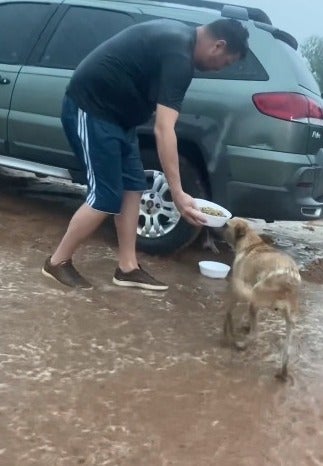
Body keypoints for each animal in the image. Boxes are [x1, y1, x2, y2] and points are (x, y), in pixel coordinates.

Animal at [223, 218, 302, 378]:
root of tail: (288, 281)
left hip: (254, 299)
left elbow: (231, 308)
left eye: (227, 225)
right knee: (287, 353)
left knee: (255, 334)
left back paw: (241, 345)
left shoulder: (241, 287)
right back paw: (283, 373)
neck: (251, 242)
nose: (220, 228)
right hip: (290, 323)